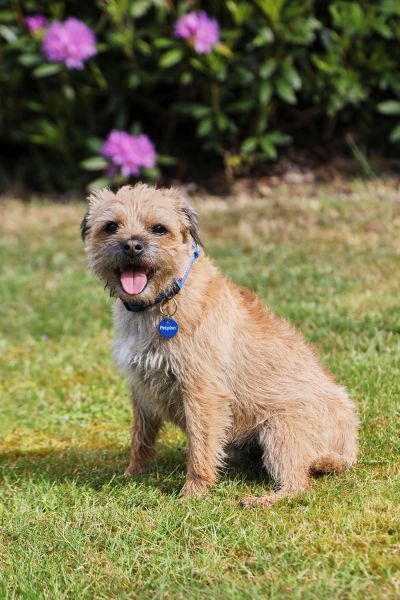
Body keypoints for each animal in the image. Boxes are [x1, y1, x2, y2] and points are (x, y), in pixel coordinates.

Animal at [82, 184, 360, 506]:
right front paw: (133, 474)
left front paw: (194, 494)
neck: (163, 299)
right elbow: (141, 437)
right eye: (111, 226)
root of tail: (350, 444)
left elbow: (201, 447)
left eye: (159, 228)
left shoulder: (202, 391)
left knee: (299, 485)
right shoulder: (141, 388)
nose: (131, 246)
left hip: (282, 429)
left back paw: (261, 500)